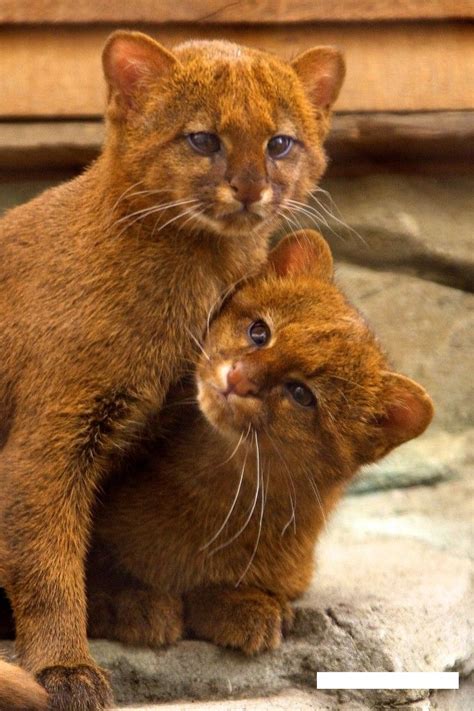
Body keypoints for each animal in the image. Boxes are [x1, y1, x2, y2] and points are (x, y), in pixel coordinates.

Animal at [0, 30, 342, 708]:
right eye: (203, 139)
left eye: (280, 142)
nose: (250, 188)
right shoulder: (50, 439)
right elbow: (48, 562)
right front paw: (64, 670)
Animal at [83, 232, 436, 656]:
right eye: (259, 331)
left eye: (301, 394)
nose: (238, 378)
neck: (211, 497)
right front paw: (133, 601)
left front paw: (244, 604)